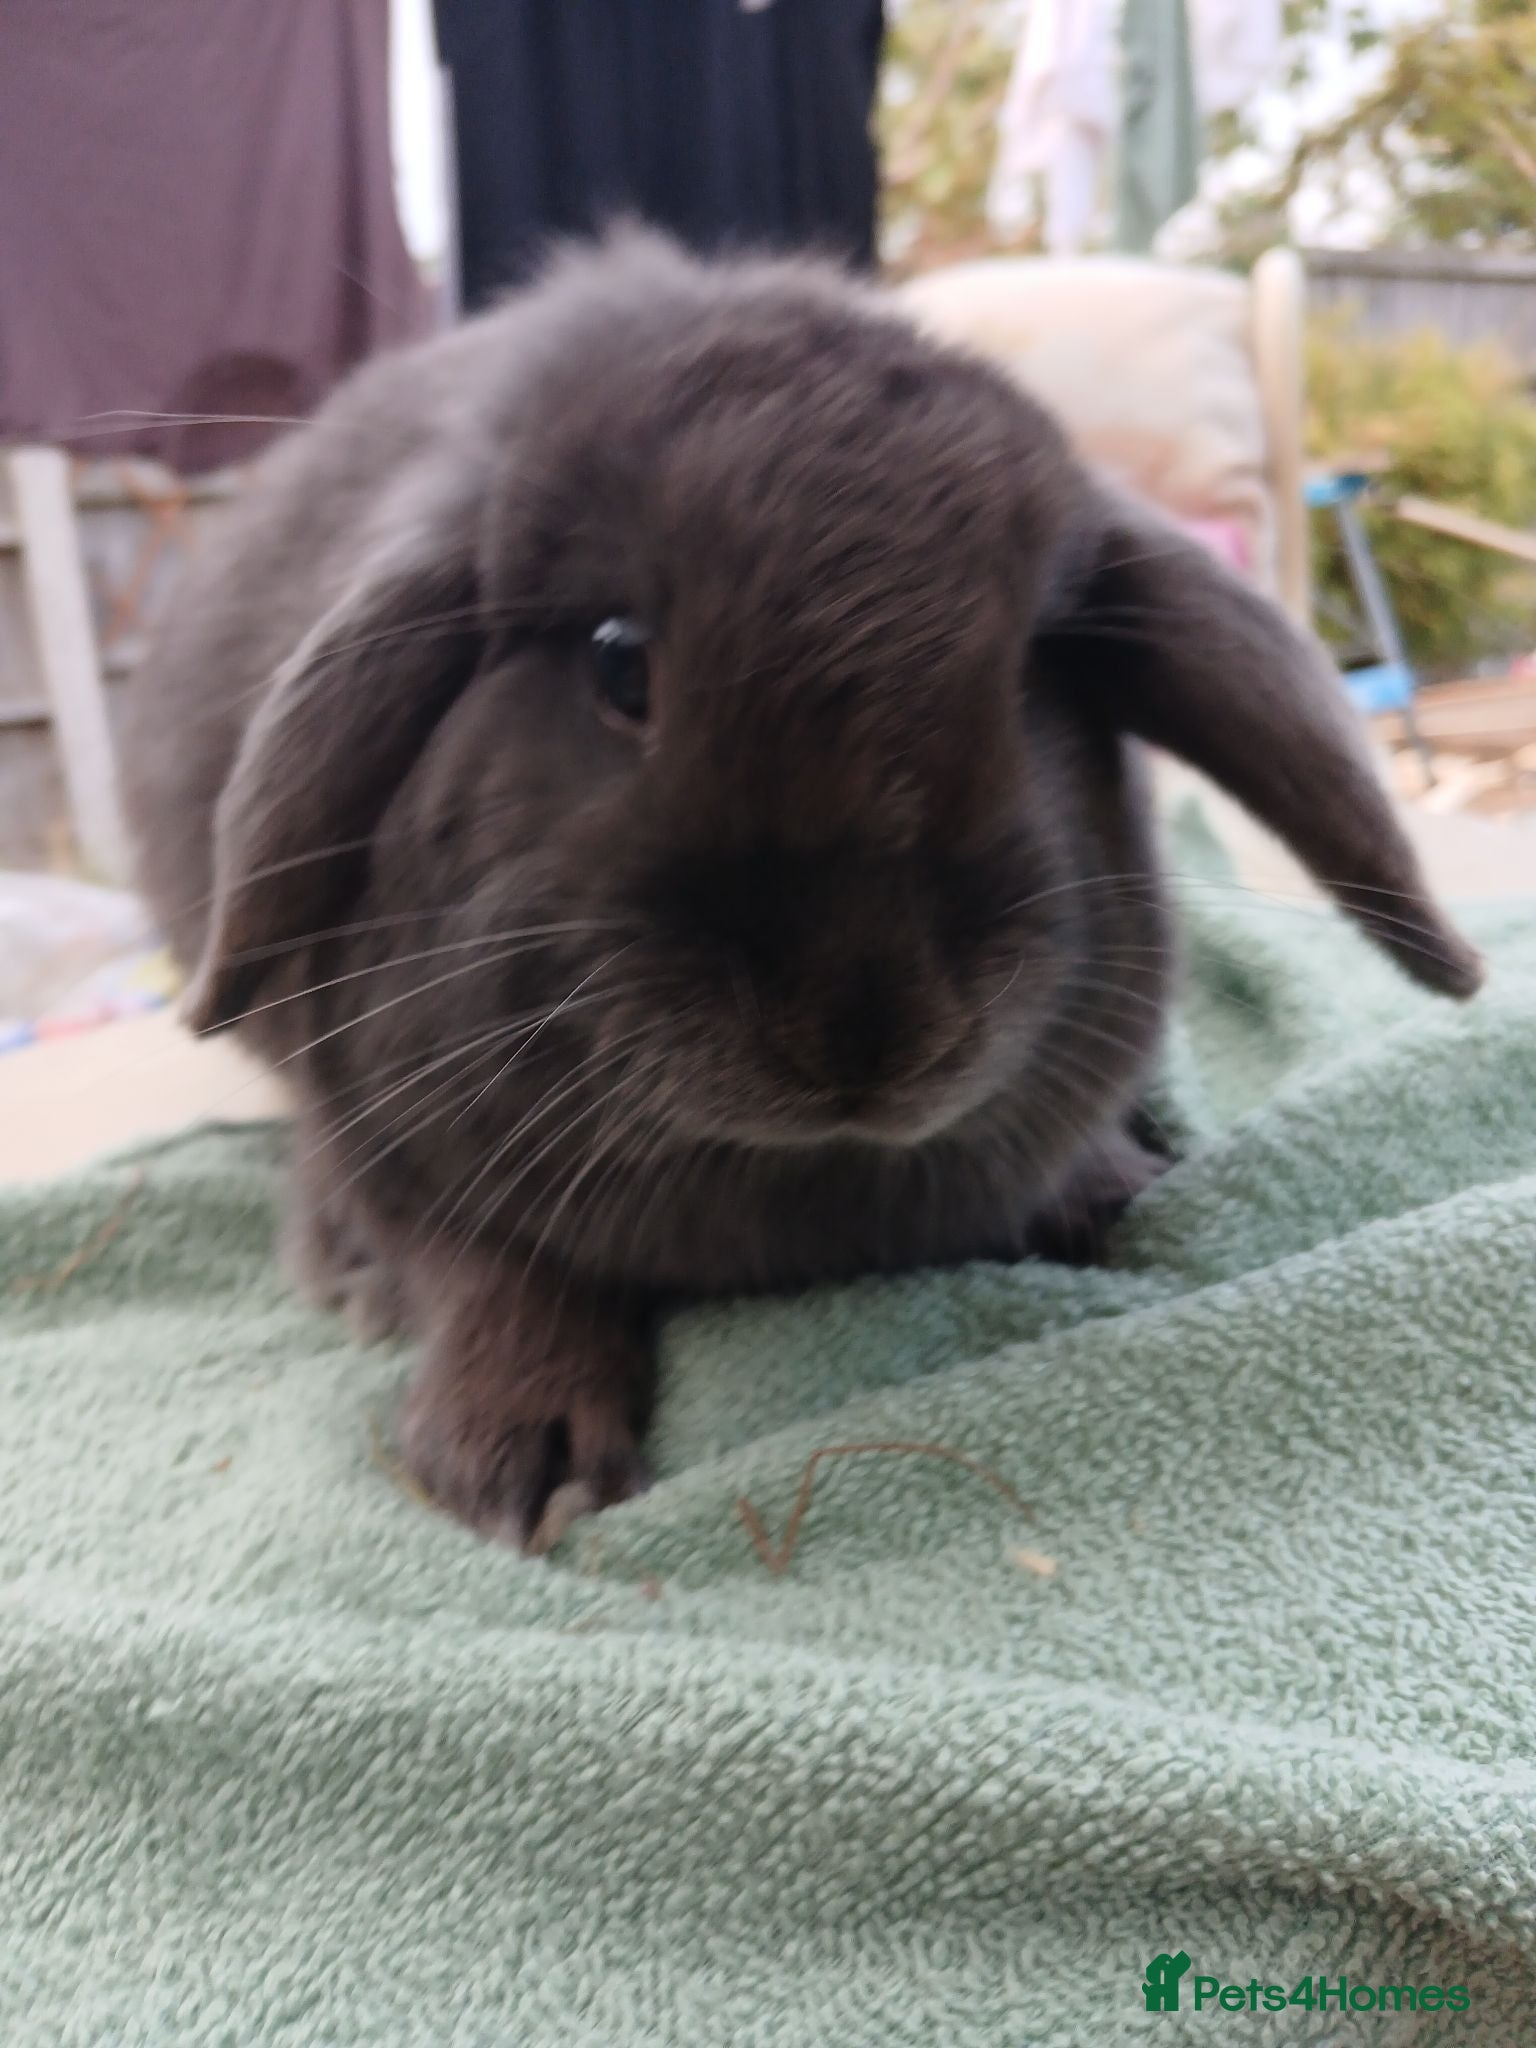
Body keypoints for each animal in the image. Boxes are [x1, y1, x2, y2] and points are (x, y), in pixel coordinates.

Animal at [120, 232, 1482, 1552]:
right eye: (619, 661)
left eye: (1030, 675)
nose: (868, 1026)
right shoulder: (392, 1136)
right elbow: (488, 1269)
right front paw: (521, 1452)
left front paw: (1112, 1186)